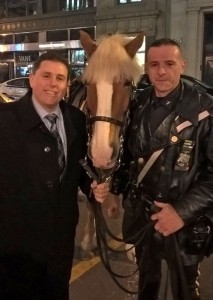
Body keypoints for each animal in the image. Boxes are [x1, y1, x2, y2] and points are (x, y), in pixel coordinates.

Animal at [69, 29, 144, 262]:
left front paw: (131, 247)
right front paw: (88, 240)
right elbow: (92, 203)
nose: (102, 153)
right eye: (88, 84)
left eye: (127, 83)